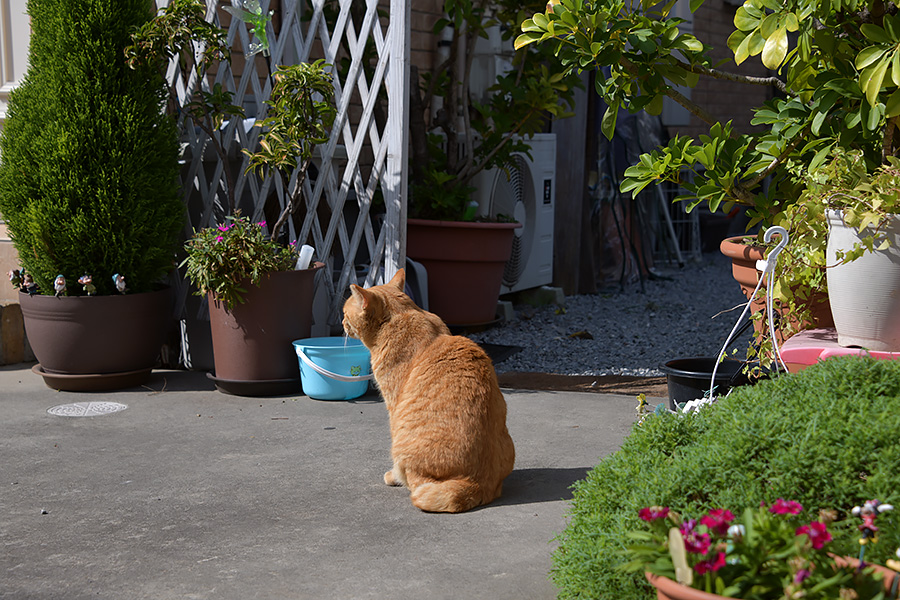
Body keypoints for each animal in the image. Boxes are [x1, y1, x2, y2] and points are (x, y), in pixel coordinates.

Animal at [342, 270, 516, 512]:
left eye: (344, 314)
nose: (341, 323)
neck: (401, 314)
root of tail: (476, 484)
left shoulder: (394, 405)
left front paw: (393, 475)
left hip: (404, 446)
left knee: (416, 483)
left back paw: (398, 479)